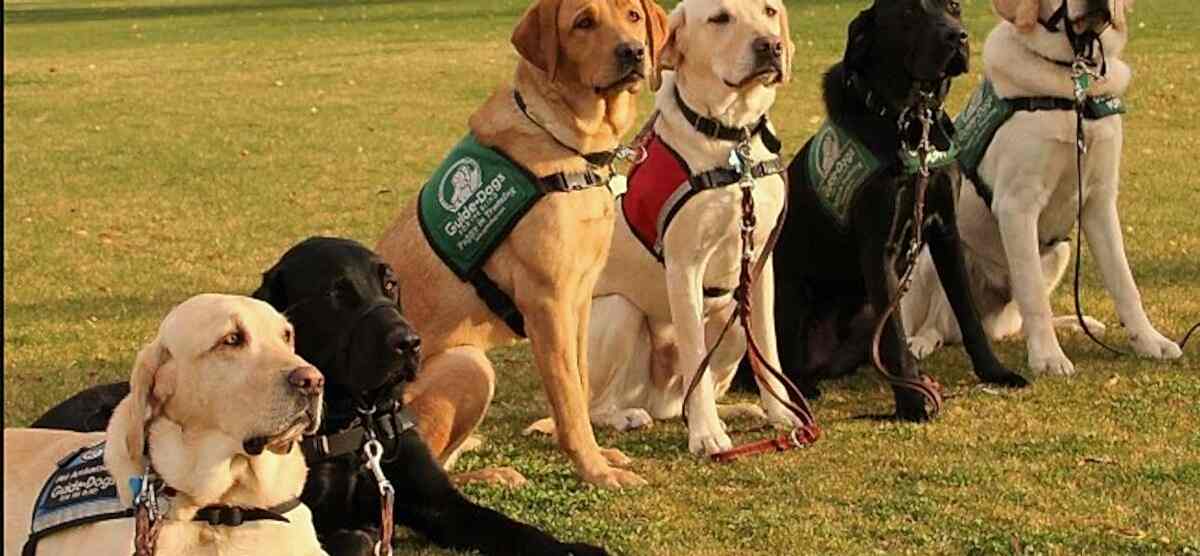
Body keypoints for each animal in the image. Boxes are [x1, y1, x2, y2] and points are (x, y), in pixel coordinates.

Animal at [375, 0, 668, 488]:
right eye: (583, 22)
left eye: (632, 15)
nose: (633, 52)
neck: (569, 143)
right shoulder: (546, 303)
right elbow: (569, 401)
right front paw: (596, 470)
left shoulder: (579, 300)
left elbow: (581, 384)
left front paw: (601, 455)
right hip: (468, 364)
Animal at [523, 0, 801, 456]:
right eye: (720, 18)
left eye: (770, 11)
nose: (771, 46)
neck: (731, 140)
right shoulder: (684, 267)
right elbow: (694, 356)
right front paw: (706, 434)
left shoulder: (759, 263)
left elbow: (767, 349)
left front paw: (780, 412)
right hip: (619, 312)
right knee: (599, 404)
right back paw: (629, 416)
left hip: (731, 320)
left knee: (680, 398)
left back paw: (730, 410)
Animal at [769, 0, 1028, 419]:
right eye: (909, 12)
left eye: (955, 7)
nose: (957, 36)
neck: (912, 122)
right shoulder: (879, 249)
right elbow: (893, 337)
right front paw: (911, 404)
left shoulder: (946, 232)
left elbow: (967, 313)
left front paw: (994, 371)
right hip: (789, 295)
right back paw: (804, 387)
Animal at [900, 0, 1181, 375]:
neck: (1072, 87)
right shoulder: (1017, 204)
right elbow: (1033, 292)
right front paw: (1048, 357)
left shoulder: (1100, 200)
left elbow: (1124, 282)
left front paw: (1149, 341)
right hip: (931, 254)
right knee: (934, 321)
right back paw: (918, 343)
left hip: (1059, 251)